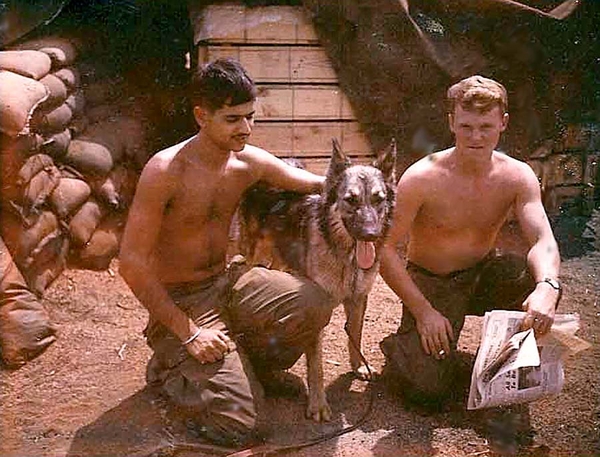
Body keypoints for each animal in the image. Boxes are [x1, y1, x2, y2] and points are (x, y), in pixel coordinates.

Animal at [237, 138, 396, 420]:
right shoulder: (318, 313)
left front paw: (358, 367)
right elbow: (316, 365)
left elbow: (355, 335)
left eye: (379, 200)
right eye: (350, 200)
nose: (370, 234)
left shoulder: (358, 299)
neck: (346, 257)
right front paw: (318, 404)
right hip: (253, 253)